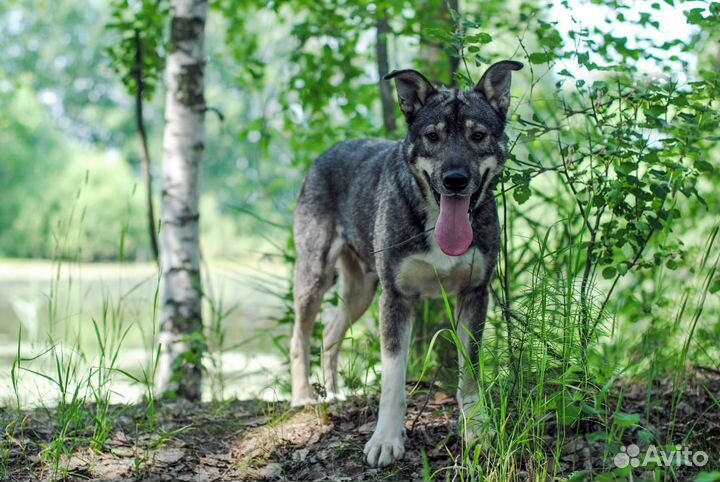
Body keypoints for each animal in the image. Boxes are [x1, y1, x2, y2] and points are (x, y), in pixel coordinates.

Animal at [288, 60, 524, 466]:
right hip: (315, 275)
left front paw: (477, 429)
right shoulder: (396, 297)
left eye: (478, 135)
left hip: (362, 289)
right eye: (432, 135)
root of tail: (327, 152)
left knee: (331, 334)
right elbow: (393, 377)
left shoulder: (475, 293)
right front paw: (386, 439)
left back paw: (335, 394)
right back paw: (303, 395)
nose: (455, 180)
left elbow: (470, 372)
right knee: (300, 336)